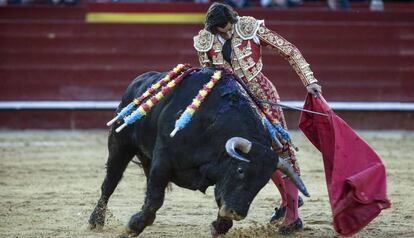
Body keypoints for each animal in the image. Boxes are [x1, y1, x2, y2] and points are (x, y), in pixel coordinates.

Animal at [88, 68, 308, 237]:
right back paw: (95, 220)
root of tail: (138, 82)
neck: (212, 125)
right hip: (120, 144)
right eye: (240, 170)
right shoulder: (163, 161)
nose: (236, 213)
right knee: (110, 183)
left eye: (262, 183)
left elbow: (219, 198)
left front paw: (219, 226)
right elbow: (155, 200)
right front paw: (133, 226)